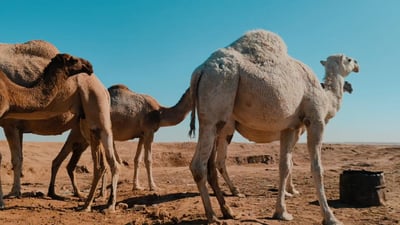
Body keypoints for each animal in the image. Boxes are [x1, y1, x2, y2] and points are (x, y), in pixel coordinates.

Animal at [0, 47, 119, 211]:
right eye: (72, 59)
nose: (89, 65)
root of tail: (104, 89)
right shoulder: (13, 124)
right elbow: (17, 157)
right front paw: (11, 194)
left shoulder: (9, 123)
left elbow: (15, 158)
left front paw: (11, 195)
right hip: (87, 126)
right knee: (98, 163)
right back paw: (92, 200)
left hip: (96, 114)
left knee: (108, 163)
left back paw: (105, 203)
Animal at [47, 84, 191, 199]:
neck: (160, 112)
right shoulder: (149, 130)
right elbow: (148, 159)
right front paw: (153, 186)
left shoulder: (141, 134)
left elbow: (137, 160)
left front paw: (137, 186)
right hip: (83, 133)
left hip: (83, 137)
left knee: (67, 159)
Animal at [188, 29, 360, 225]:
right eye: (348, 59)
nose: (358, 64)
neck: (326, 97)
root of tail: (200, 70)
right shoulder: (314, 120)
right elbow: (317, 168)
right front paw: (330, 217)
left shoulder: (290, 128)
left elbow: (284, 166)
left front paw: (281, 212)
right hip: (219, 97)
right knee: (201, 165)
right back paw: (213, 215)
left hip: (210, 120)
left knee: (206, 163)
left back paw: (227, 211)